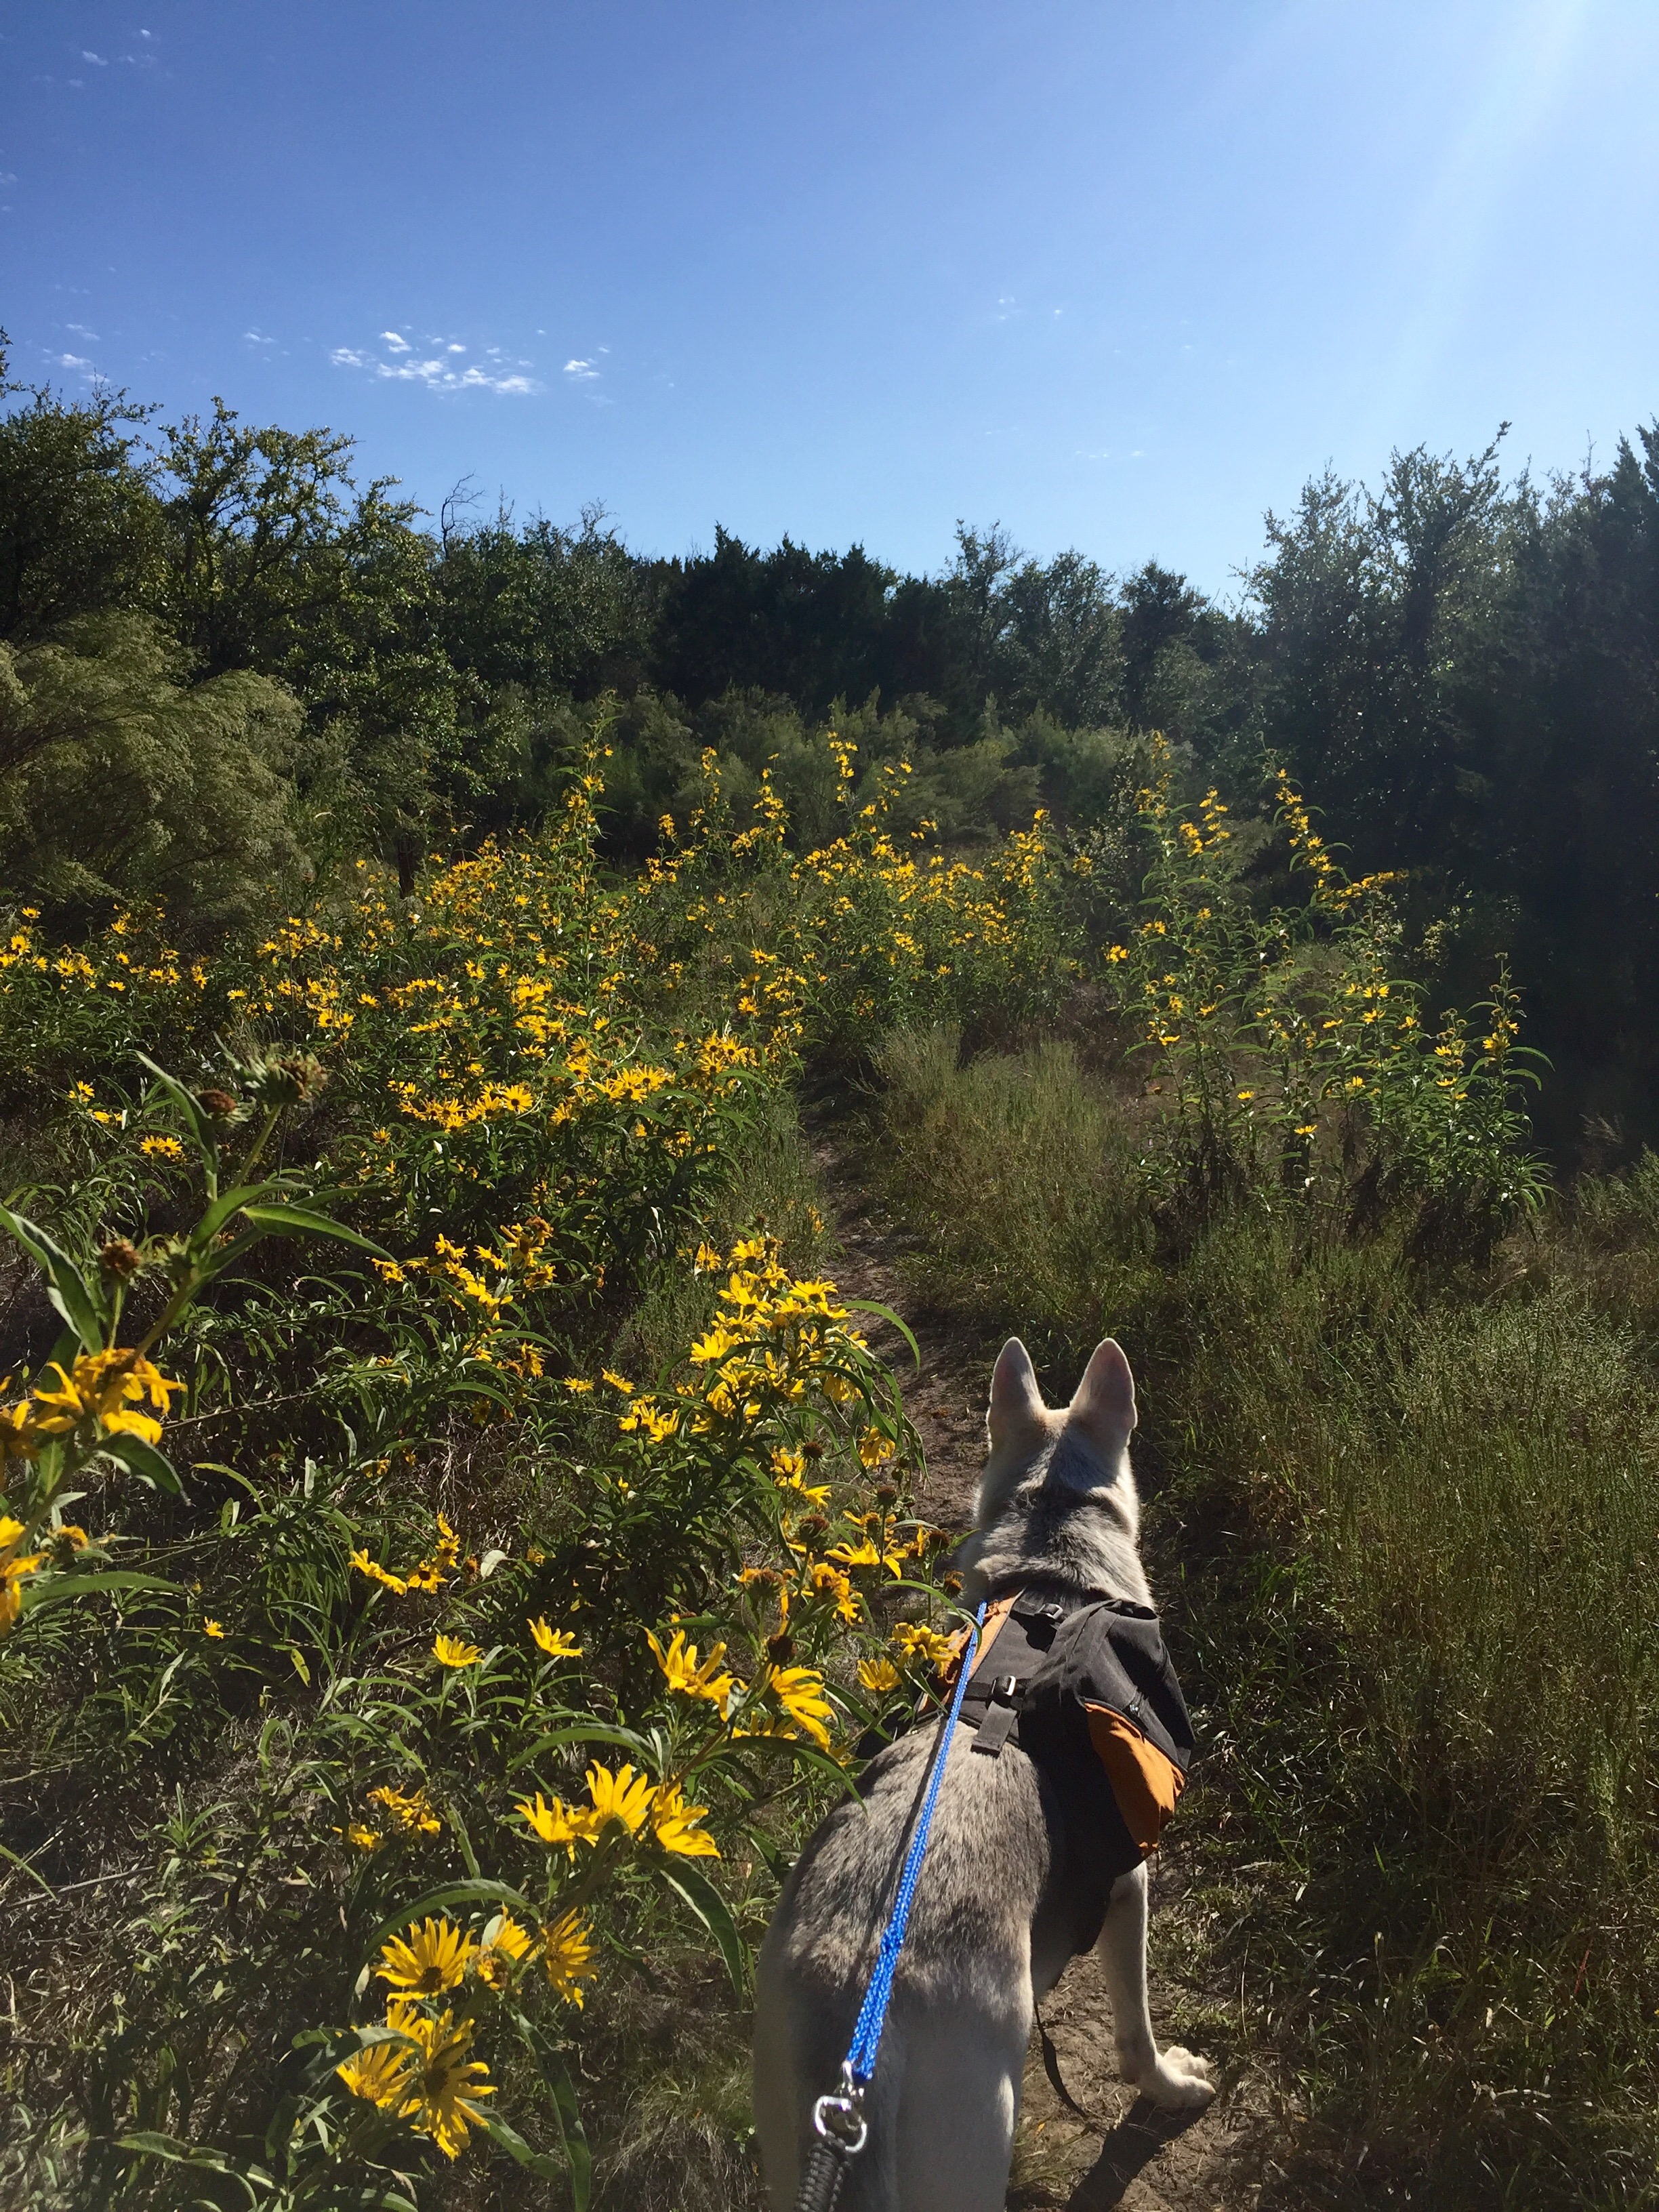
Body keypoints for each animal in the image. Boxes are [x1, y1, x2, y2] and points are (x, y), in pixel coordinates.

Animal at [752, 1335, 1214, 2212]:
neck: (1051, 1575)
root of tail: (850, 2024)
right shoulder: (1130, 1884)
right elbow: (1136, 2029)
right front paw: (1170, 2085)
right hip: (970, 2139)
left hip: (794, 2141)